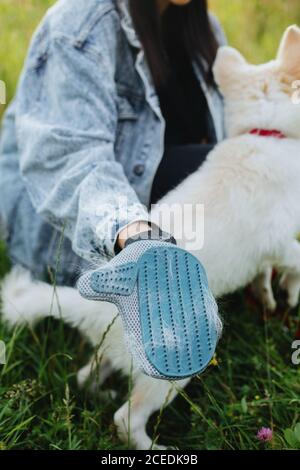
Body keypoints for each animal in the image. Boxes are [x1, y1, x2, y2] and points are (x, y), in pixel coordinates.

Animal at [1, 24, 300, 448]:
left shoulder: (264, 253)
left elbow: (263, 274)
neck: (263, 134)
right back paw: (152, 444)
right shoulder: (278, 238)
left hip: (111, 352)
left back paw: (98, 393)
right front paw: (289, 292)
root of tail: (92, 306)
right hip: (169, 371)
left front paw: (269, 298)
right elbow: (296, 259)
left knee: (87, 375)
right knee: (126, 417)